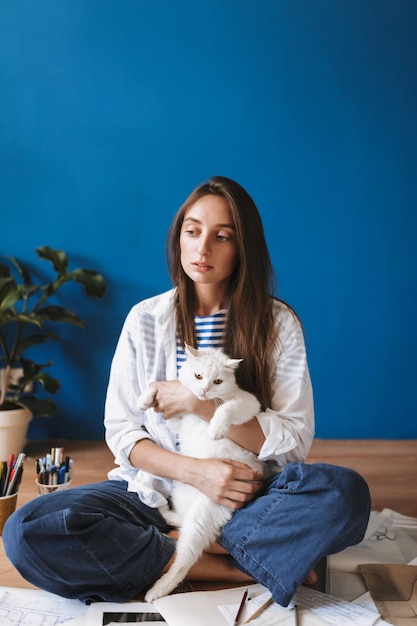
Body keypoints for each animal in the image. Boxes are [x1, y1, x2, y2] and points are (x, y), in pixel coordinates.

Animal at [140, 342, 268, 600]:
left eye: (217, 381)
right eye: (198, 376)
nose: (205, 389)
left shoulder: (248, 403)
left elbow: (226, 408)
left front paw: (216, 429)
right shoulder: (178, 422)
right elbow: (155, 390)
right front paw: (146, 399)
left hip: (199, 519)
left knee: (183, 562)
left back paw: (155, 592)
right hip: (182, 496)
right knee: (178, 520)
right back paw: (163, 510)